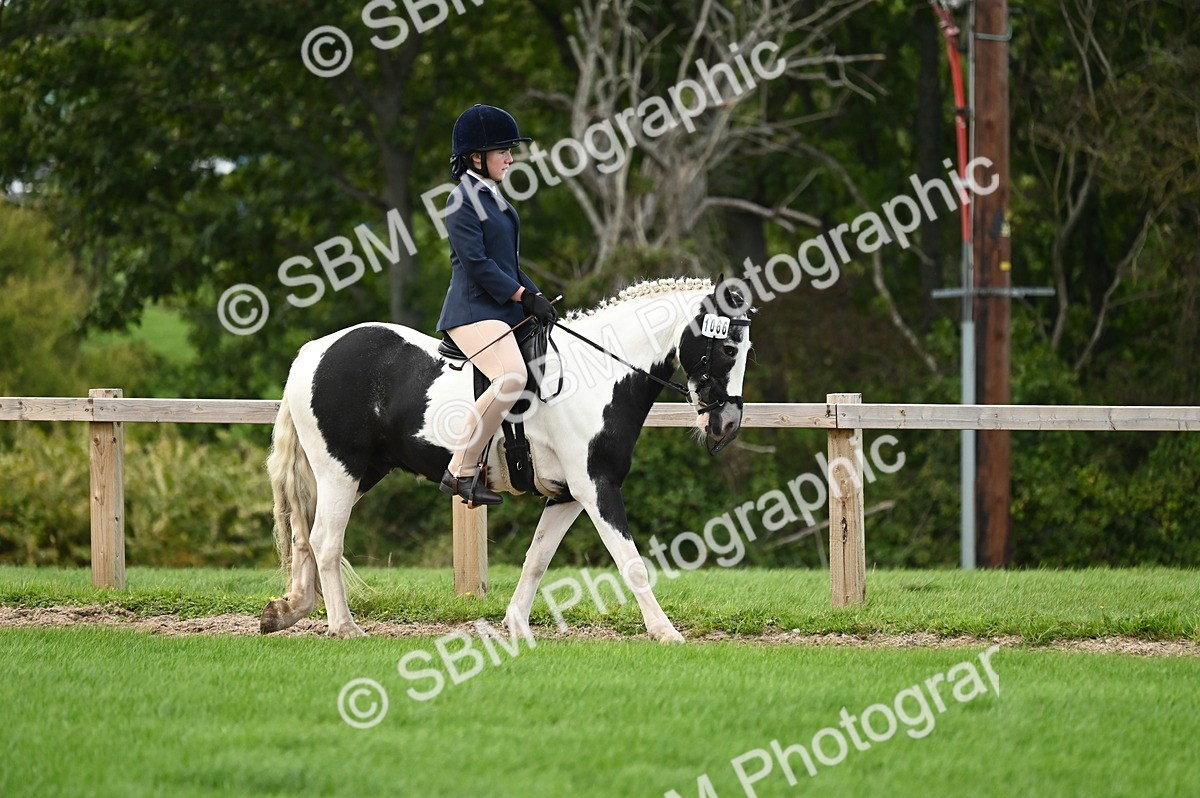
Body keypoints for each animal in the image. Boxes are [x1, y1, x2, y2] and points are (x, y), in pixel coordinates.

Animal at [259, 275, 753, 641]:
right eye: (729, 348)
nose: (726, 423)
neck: (601, 375)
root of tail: (314, 351)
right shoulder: (597, 487)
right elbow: (629, 559)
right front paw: (666, 632)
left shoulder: (567, 495)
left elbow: (537, 558)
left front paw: (515, 625)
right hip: (340, 470)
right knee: (325, 540)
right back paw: (344, 627)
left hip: (362, 473)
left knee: (306, 536)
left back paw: (287, 611)